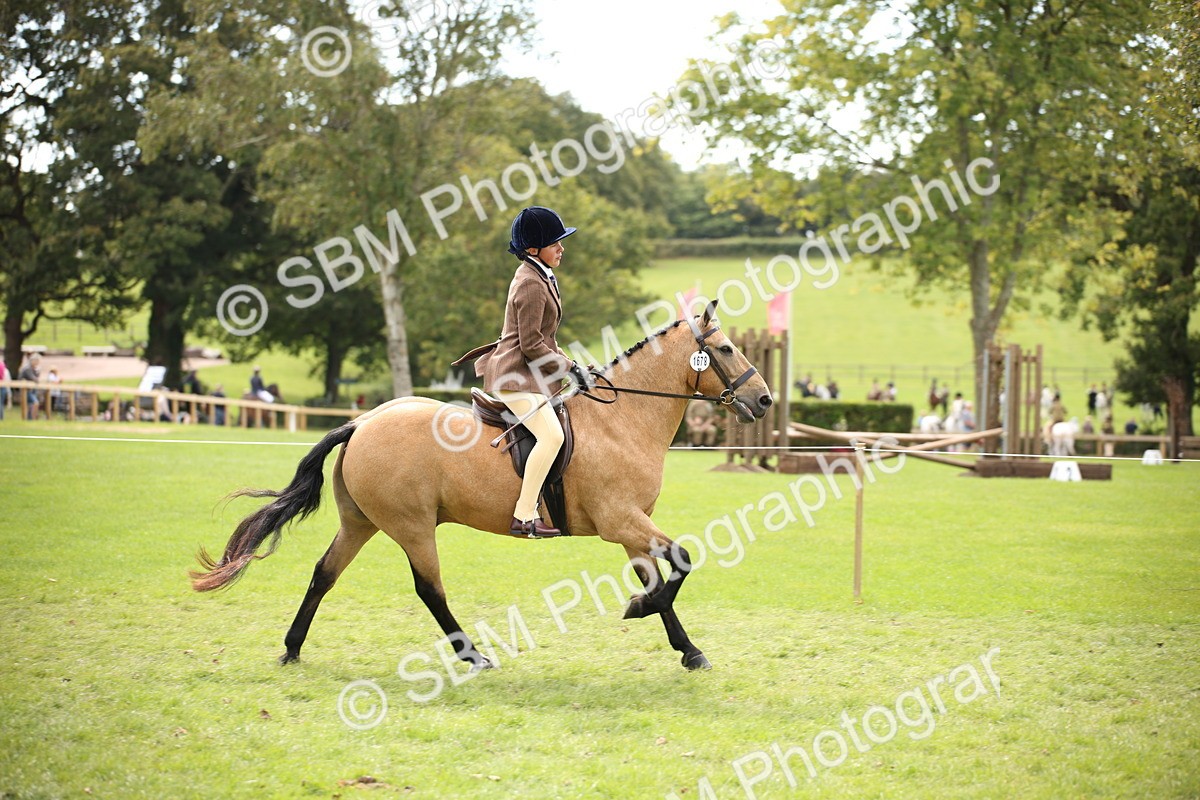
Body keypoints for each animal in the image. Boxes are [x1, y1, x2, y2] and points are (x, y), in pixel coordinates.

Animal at [191, 304, 772, 671]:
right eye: (725, 349)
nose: (764, 400)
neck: (622, 419)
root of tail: (361, 422)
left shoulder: (633, 526)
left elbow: (662, 578)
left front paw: (686, 647)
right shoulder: (620, 521)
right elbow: (683, 560)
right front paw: (638, 610)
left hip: (360, 522)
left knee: (323, 574)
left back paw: (292, 648)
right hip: (411, 526)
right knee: (429, 589)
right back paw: (472, 655)